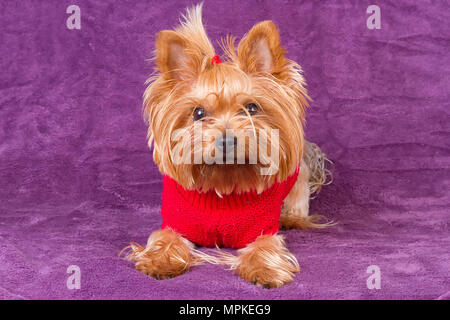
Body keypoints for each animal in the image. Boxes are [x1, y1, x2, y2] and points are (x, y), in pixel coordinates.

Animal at [125, 3, 332, 288]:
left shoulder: (262, 228)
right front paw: (159, 261)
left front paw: (264, 270)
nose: (226, 140)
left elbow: (266, 245)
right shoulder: (175, 223)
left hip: (299, 176)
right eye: (199, 113)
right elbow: (164, 238)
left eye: (251, 108)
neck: (223, 181)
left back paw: (291, 217)